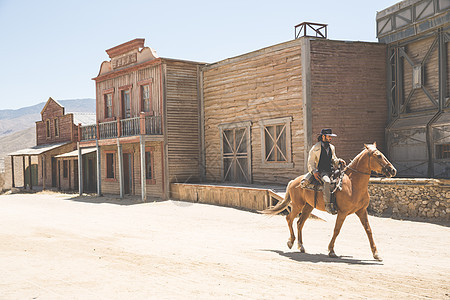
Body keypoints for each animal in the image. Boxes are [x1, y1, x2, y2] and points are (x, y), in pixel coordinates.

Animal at [260, 143, 398, 260]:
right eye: (378, 155)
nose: (393, 170)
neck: (353, 184)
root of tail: (294, 181)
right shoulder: (342, 213)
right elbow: (337, 230)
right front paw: (331, 251)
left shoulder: (361, 211)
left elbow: (368, 230)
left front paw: (376, 254)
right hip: (297, 205)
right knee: (289, 219)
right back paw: (290, 242)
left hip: (308, 206)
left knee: (300, 223)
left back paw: (301, 246)